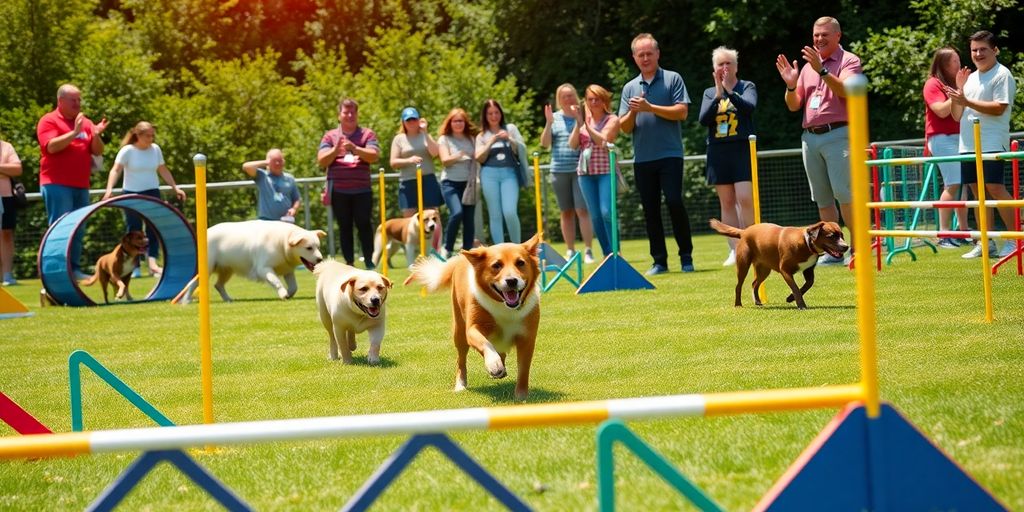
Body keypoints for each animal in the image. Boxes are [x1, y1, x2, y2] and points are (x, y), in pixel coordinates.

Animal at [180, 221, 323, 303]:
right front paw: (283, 293)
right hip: (208, 268)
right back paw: (186, 301)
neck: (281, 242)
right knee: (192, 283)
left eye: (318, 246)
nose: (320, 259)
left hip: (227, 270)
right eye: (309, 248)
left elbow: (294, 287)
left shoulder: (287, 271)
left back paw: (228, 299)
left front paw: (288, 294)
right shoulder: (264, 269)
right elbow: (276, 281)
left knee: (218, 285)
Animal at [403, 234, 540, 399]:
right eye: (496, 265)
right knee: (461, 360)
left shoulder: (527, 338)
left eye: (520, 263)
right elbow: (484, 343)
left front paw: (521, 396)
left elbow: (524, 370)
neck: (506, 308)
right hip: (459, 332)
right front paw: (493, 363)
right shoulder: (473, 329)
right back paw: (461, 384)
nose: (512, 280)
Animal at [712, 219, 847, 309]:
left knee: (755, 284)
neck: (806, 242)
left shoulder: (808, 270)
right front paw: (801, 305)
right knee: (738, 285)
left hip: (764, 269)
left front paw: (790, 298)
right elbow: (796, 288)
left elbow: (808, 284)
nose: (846, 247)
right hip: (743, 265)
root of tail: (744, 231)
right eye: (831, 236)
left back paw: (758, 301)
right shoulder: (785, 270)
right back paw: (738, 304)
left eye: (841, 235)